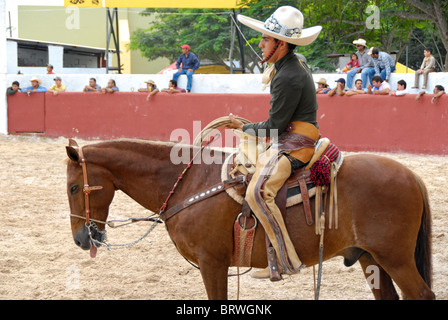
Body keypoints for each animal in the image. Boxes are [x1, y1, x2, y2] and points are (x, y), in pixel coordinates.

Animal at [65, 139, 434, 298]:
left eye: (73, 187)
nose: (81, 239)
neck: (189, 184)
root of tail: (411, 176)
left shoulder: (212, 263)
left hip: (396, 259)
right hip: (372, 258)